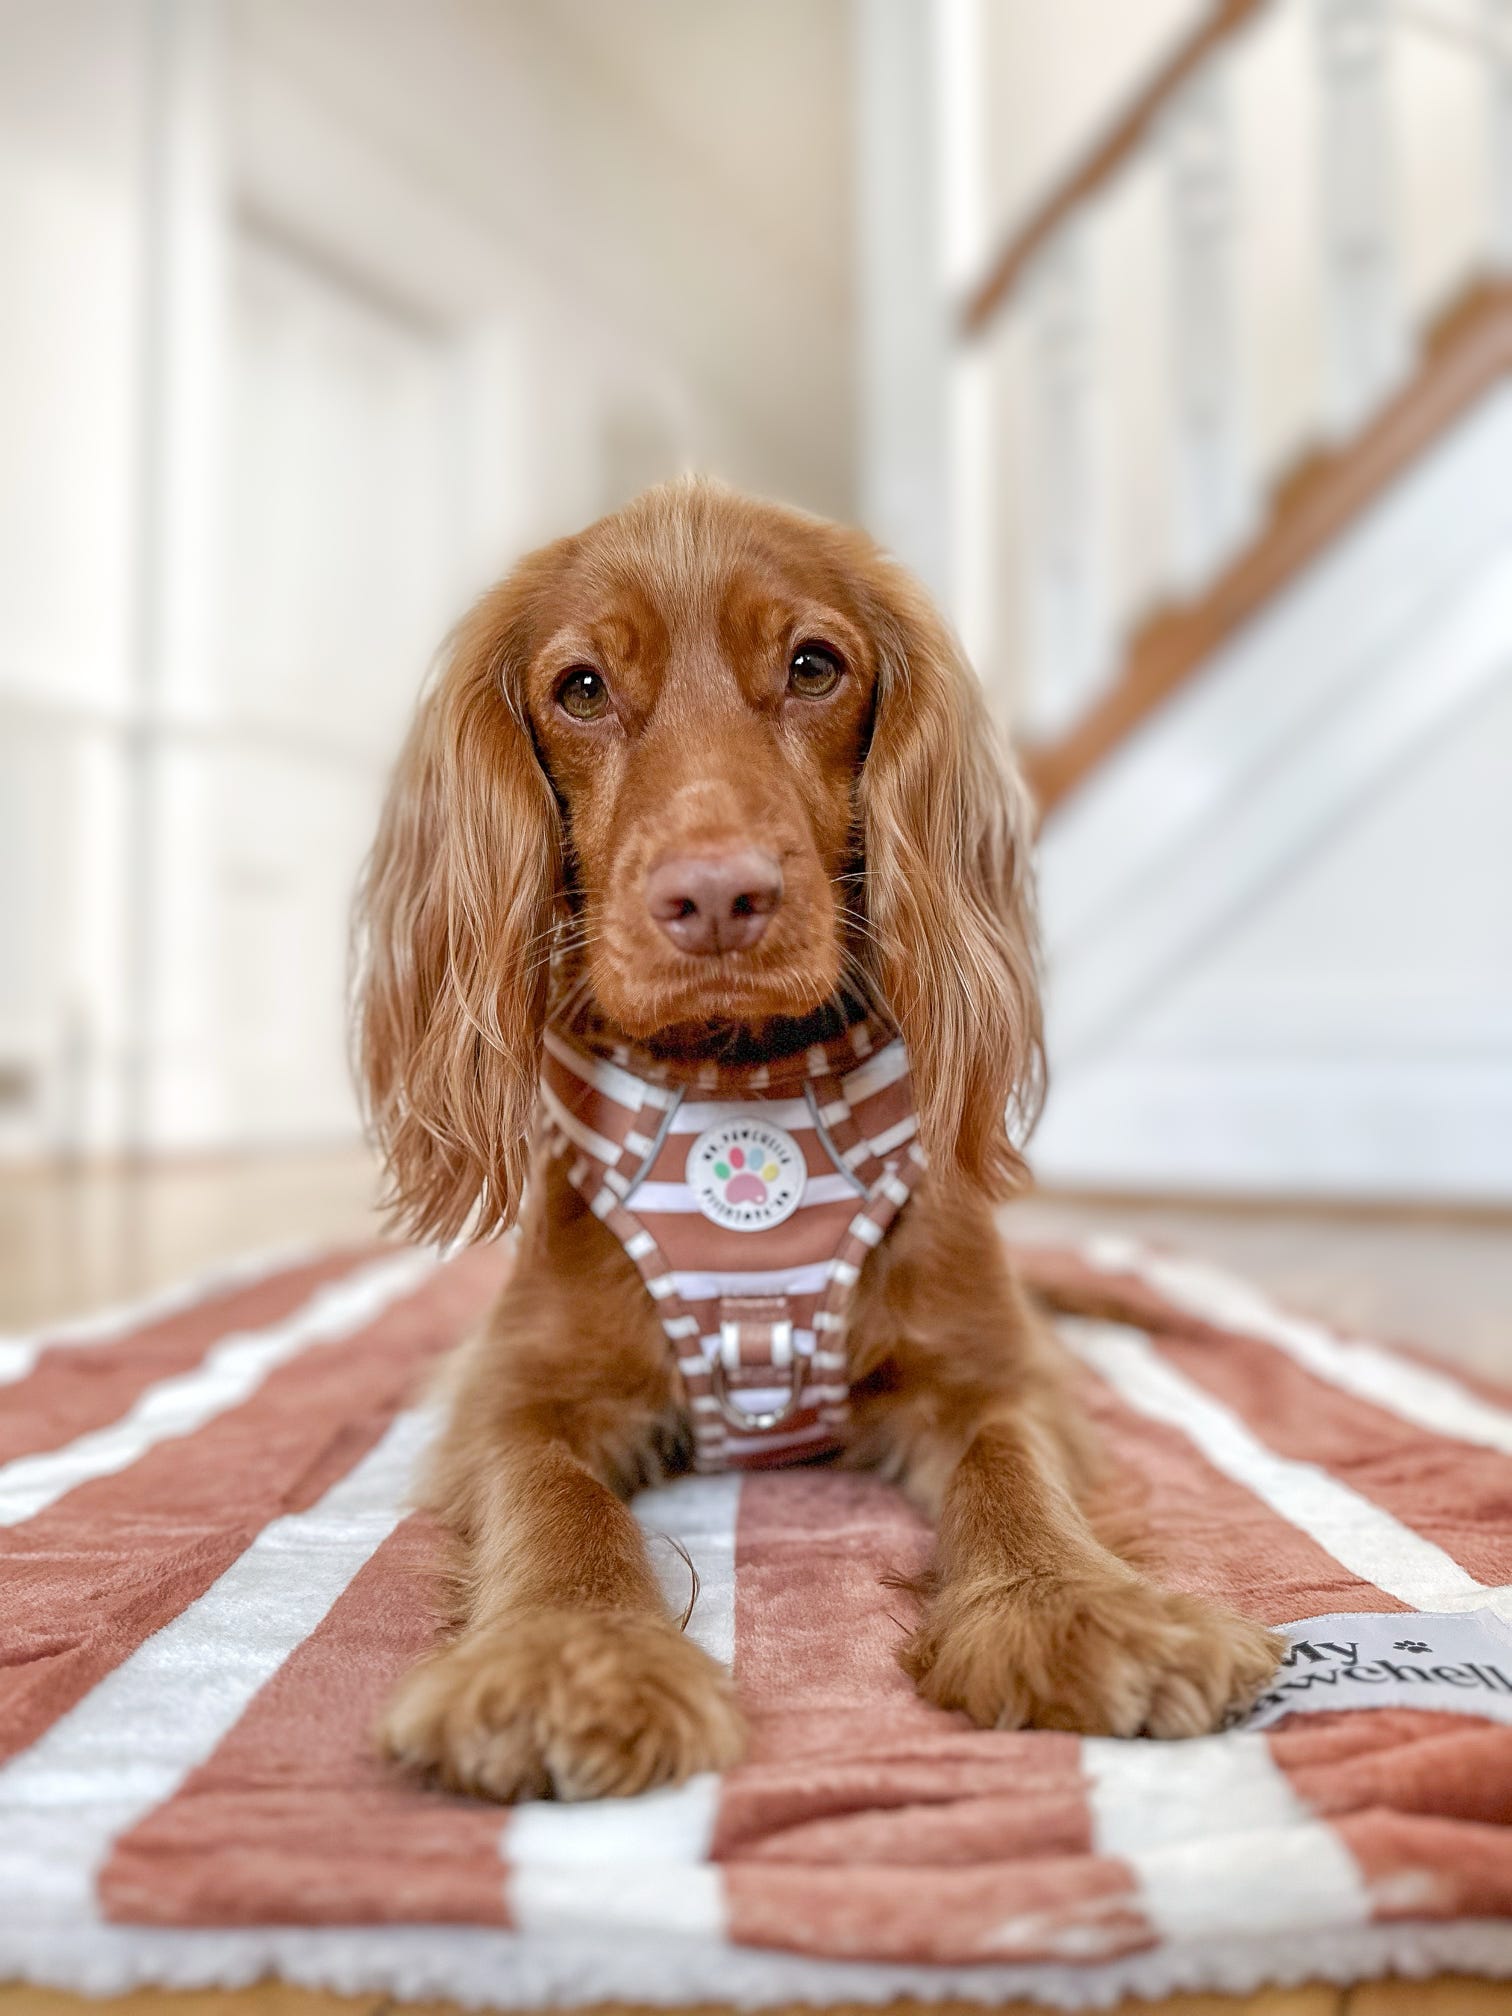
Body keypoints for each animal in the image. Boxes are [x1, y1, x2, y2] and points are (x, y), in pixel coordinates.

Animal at [354, 478, 1282, 1802]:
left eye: (812, 666)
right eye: (579, 687)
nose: (716, 897)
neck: (746, 1085)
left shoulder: (993, 1370)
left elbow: (1013, 1467)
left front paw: (1074, 1607)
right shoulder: (515, 1389)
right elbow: (556, 1499)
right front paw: (568, 1657)